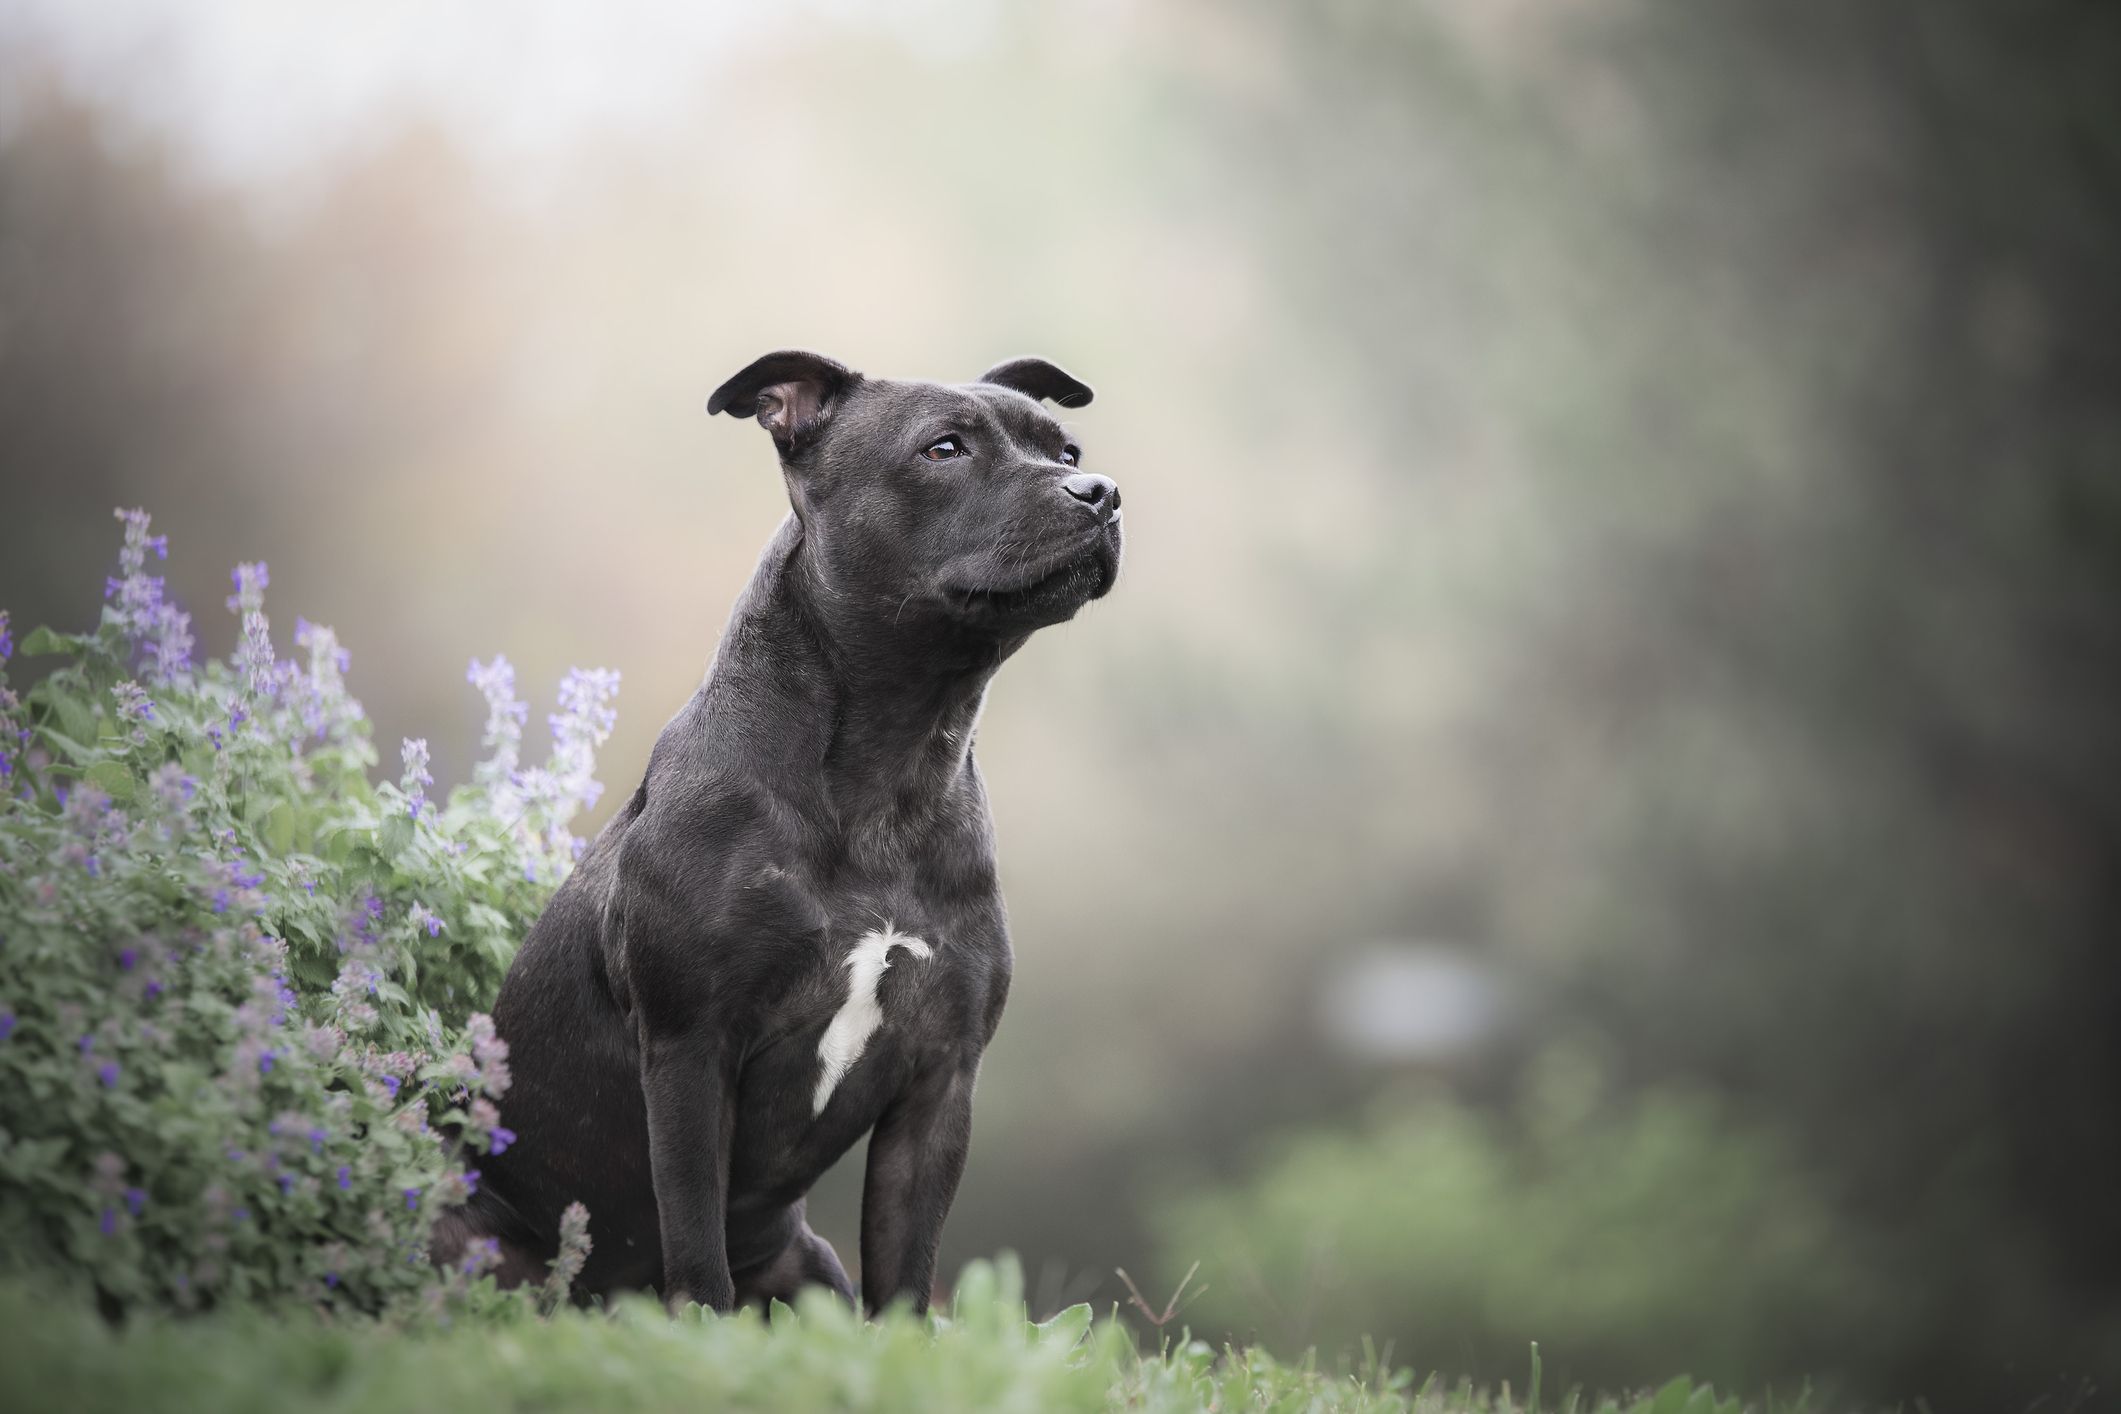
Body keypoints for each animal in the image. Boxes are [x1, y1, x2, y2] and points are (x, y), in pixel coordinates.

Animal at [434, 345, 1128, 1314]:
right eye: (943, 449)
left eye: (1065, 450)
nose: (1100, 492)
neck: (893, 764)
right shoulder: (691, 1051)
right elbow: (696, 1247)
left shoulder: (939, 1082)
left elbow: (904, 1272)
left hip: (809, 1263)